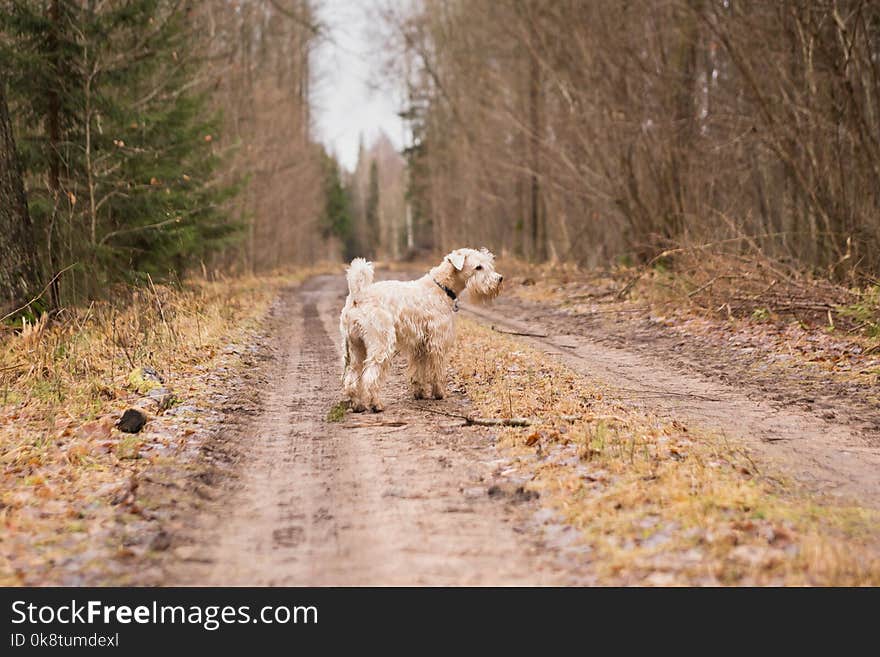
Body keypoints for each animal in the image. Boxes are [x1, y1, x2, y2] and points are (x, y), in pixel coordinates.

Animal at [338, 249, 502, 412]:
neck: (441, 287)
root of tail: (358, 296)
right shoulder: (437, 342)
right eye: (478, 267)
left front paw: (420, 393)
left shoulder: (420, 344)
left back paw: (358, 405)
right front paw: (439, 393)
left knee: (351, 377)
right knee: (370, 376)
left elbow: (419, 371)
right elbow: (437, 370)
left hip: (356, 347)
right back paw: (376, 404)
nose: (500, 278)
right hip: (381, 344)